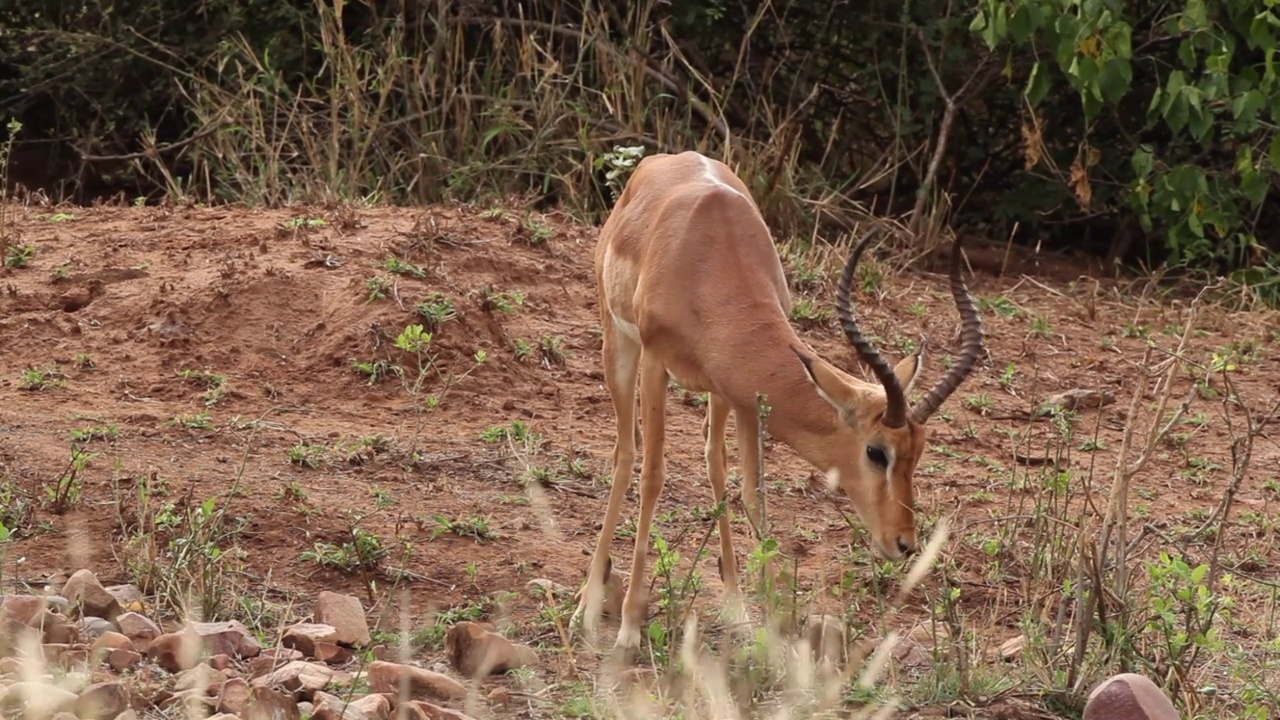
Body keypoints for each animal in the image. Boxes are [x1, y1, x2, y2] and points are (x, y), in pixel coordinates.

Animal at [576, 148, 983, 648]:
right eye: (876, 452)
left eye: (919, 451)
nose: (904, 543)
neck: (706, 258)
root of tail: (661, 160)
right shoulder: (656, 363)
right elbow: (653, 477)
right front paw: (631, 626)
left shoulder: (746, 395)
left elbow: (754, 492)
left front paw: (767, 629)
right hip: (619, 343)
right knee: (626, 453)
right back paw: (587, 605)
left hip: (719, 393)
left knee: (714, 463)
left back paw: (733, 607)